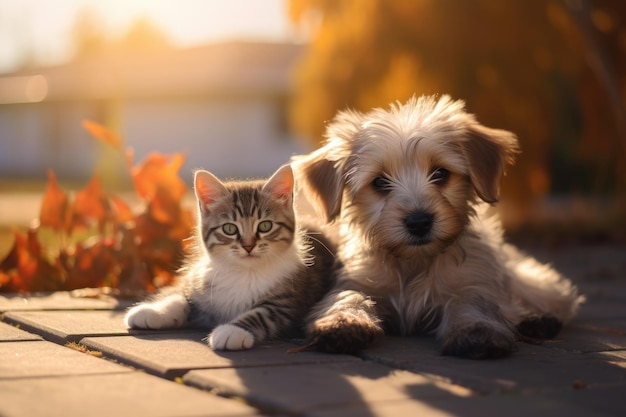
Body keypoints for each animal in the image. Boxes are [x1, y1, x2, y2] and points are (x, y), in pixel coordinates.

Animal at [123, 164, 334, 350]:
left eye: (265, 226)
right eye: (229, 229)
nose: (248, 246)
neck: (243, 272)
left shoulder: (287, 302)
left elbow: (261, 314)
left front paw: (232, 331)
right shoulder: (199, 283)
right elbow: (180, 297)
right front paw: (153, 311)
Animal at [292, 94, 584, 358]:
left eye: (440, 173)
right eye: (379, 182)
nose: (419, 222)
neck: (415, 261)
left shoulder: (473, 279)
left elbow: (472, 301)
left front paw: (476, 330)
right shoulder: (357, 278)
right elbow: (348, 295)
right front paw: (344, 322)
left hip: (530, 281)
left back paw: (538, 319)